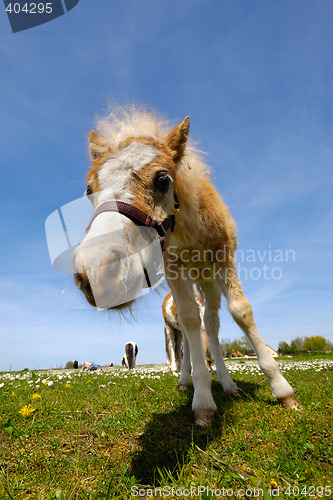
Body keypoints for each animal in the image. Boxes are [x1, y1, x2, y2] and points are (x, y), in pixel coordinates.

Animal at [73, 105, 300, 426]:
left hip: (208, 280)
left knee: (212, 325)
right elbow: (190, 320)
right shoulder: (173, 267)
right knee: (191, 327)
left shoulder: (224, 258)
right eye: (88, 190)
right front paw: (203, 402)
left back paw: (228, 384)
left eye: (163, 180)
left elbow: (241, 311)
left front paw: (282, 390)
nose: (96, 272)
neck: (188, 231)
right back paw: (186, 379)